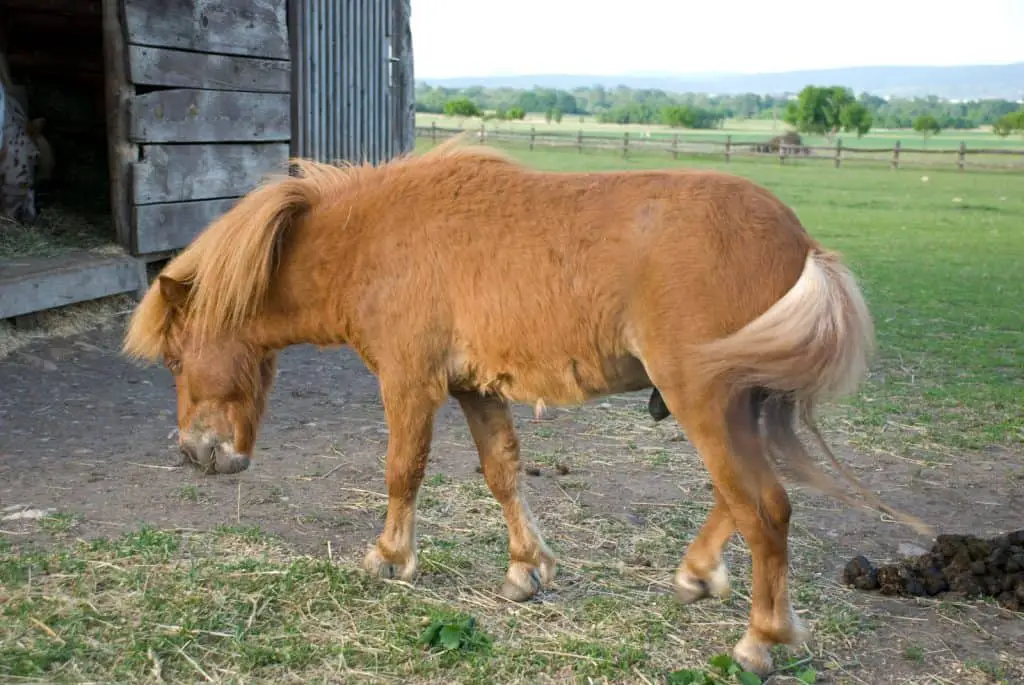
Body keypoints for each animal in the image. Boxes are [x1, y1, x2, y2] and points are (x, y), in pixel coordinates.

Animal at [119, 136, 929, 675]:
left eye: (175, 357)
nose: (196, 453)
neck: (373, 239)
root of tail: (801, 243)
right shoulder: (475, 389)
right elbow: (503, 474)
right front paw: (526, 569)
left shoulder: (410, 383)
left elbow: (402, 471)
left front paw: (390, 558)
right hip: (734, 407)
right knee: (742, 498)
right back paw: (698, 573)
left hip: (708, 402)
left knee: (764, 507)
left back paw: (761, 637)